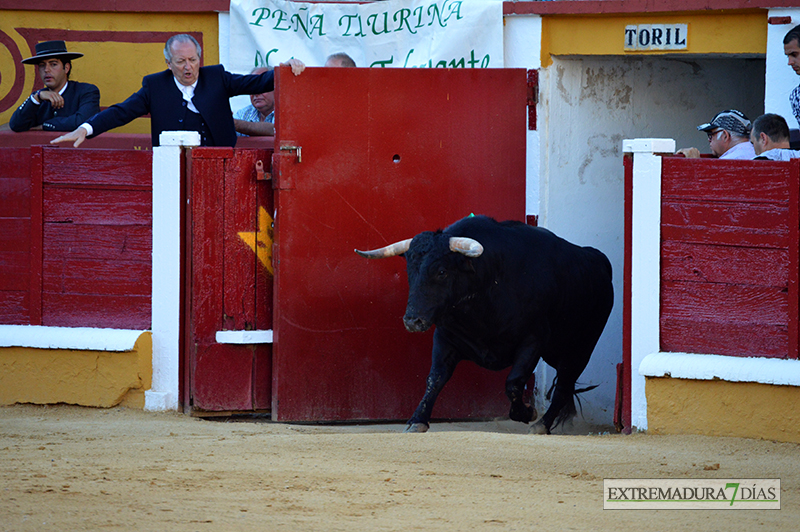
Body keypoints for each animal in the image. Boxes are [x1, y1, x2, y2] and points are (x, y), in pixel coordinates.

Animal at [356, 214, 612, 434]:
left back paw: (541, 425)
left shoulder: (533, 341)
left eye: (442, 271)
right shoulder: (446, 336)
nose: (412, 321)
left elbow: (513, 383)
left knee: (563, 386)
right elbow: (435, 378)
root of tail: (599, 262)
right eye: (410, 270)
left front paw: (527, 413)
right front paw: (417, 420)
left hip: (580, 349)